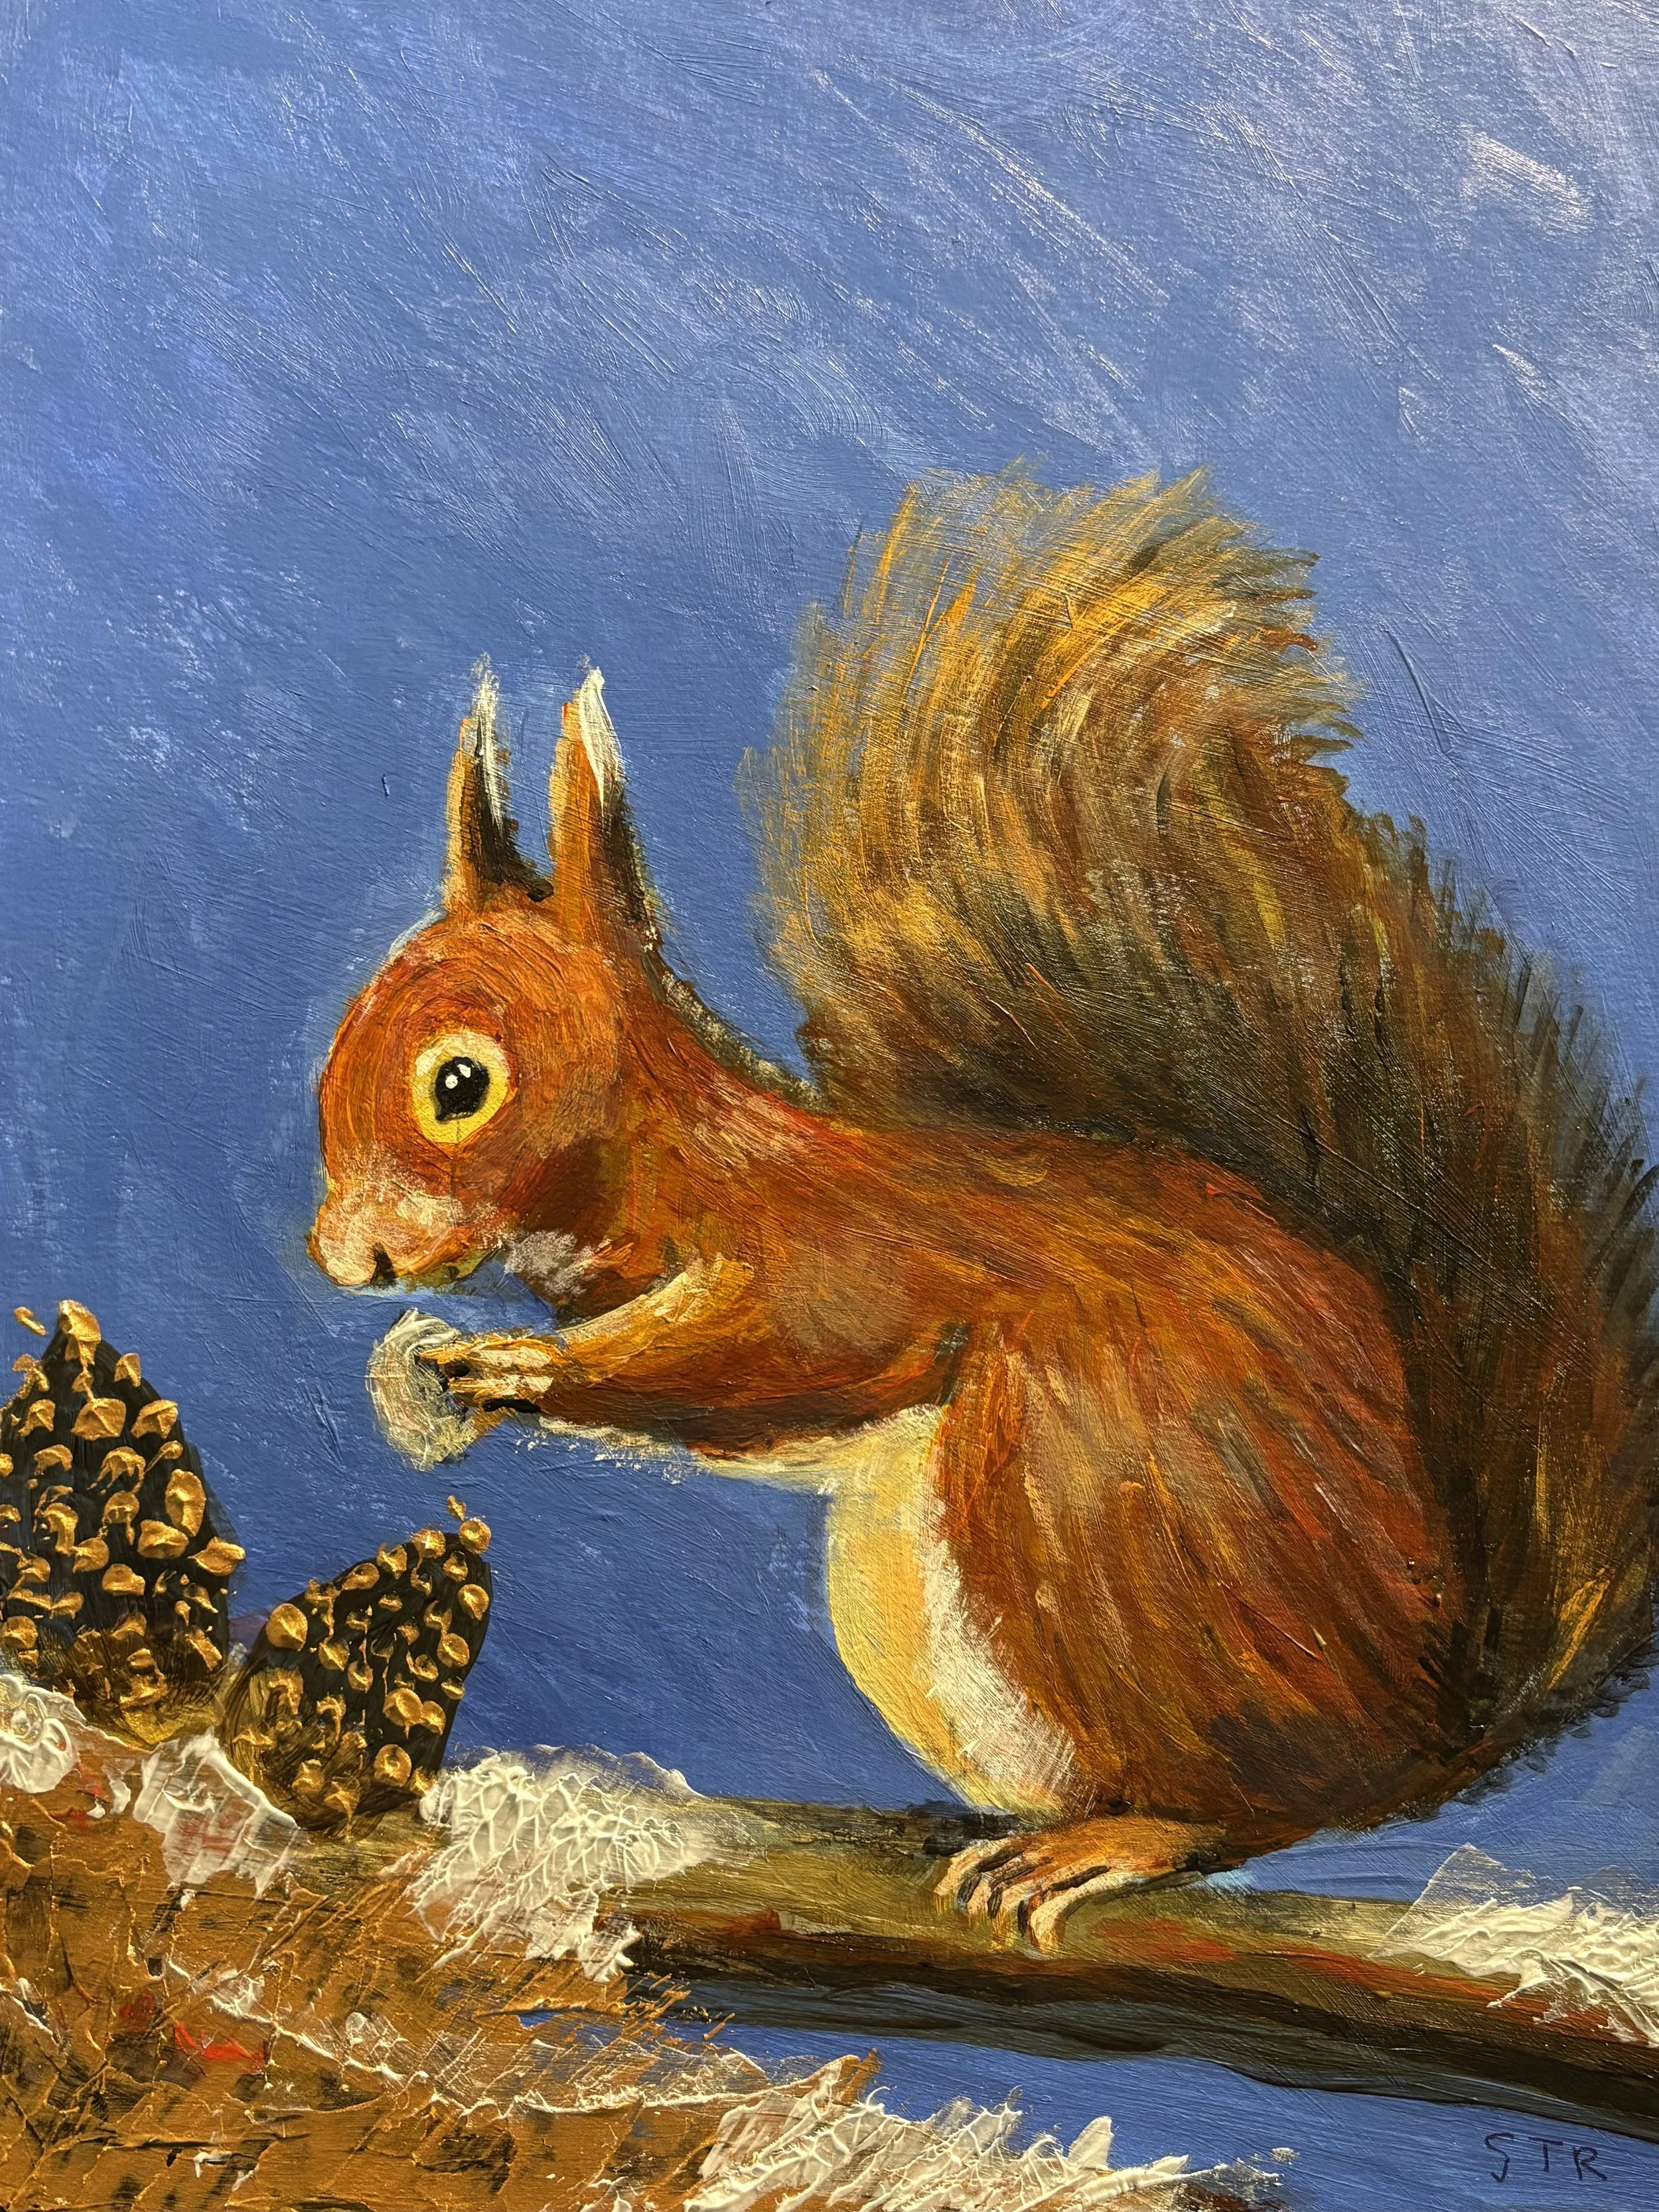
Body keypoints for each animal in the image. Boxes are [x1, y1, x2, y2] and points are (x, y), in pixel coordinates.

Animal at [310, 468, 1659, 1949]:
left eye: (459, 1082)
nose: (344, 1256)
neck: (691, 1165)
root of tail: (1430, 1716)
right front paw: (431, 1367)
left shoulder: (844, 1256)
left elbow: (768, 1351)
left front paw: (520, 1365)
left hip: (1090, 1501)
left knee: (1263, 1805)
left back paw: (1117, 1837)